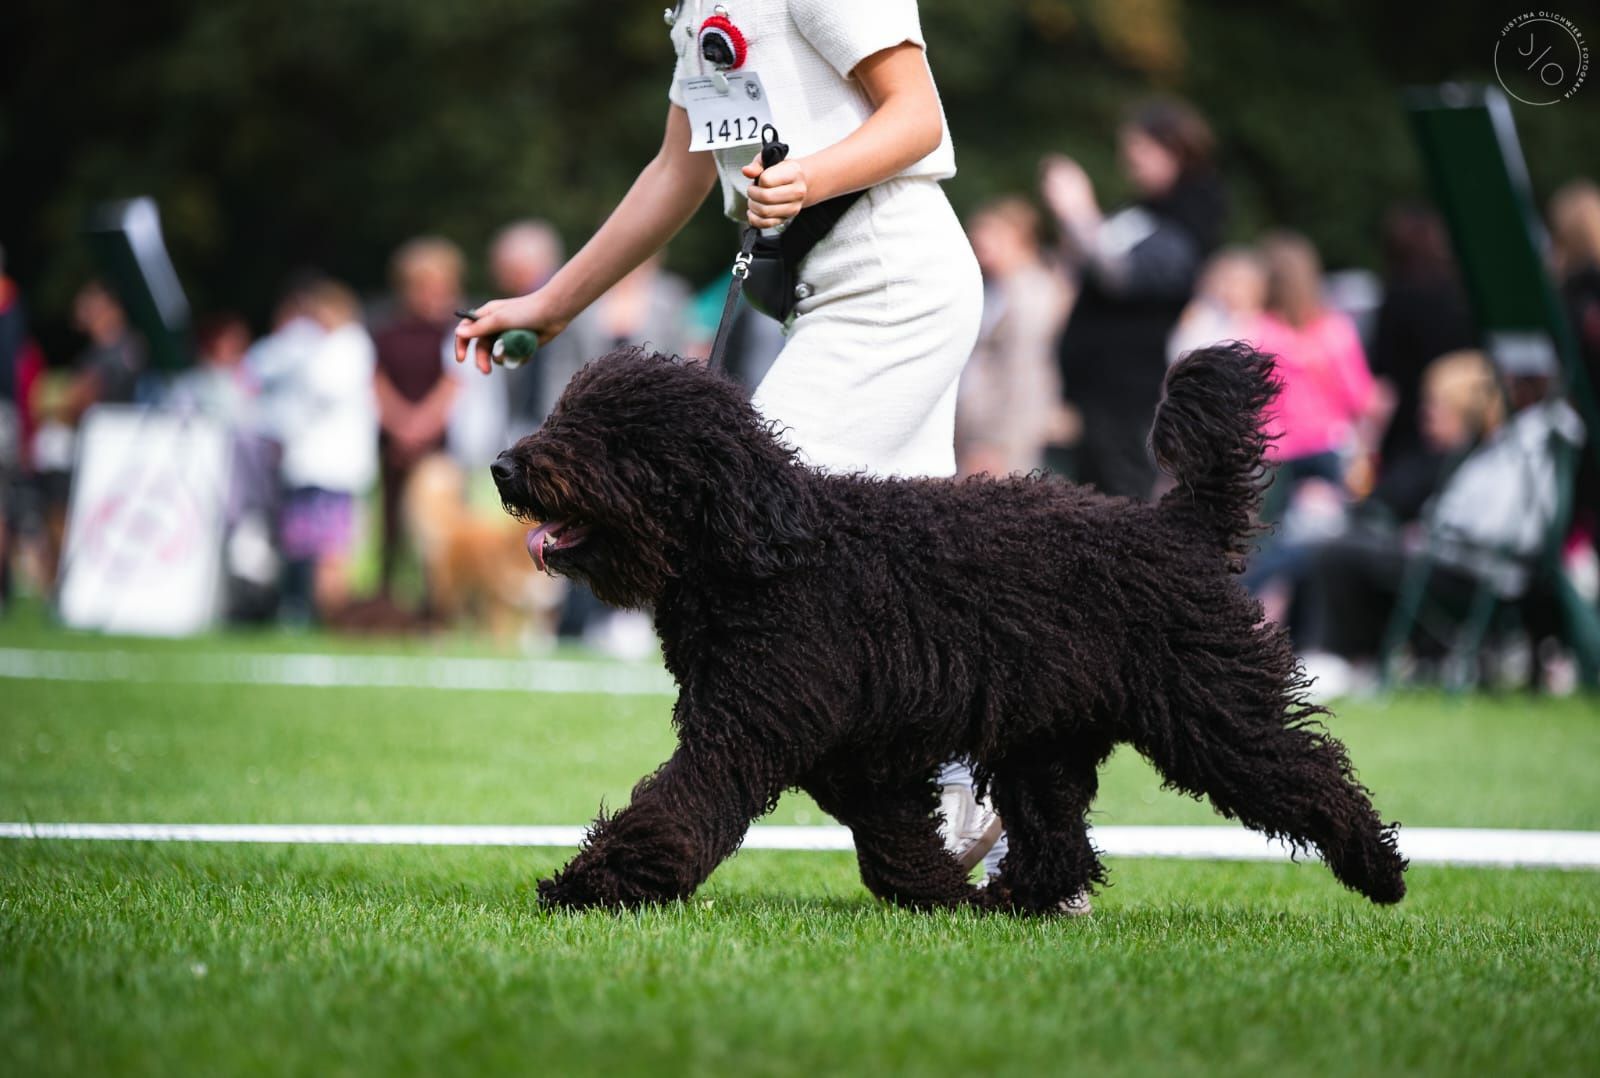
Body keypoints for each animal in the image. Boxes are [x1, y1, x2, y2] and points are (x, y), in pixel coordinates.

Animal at [492, 342, 1408, 908]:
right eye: (567, 409)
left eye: (617, 434)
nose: (503, 466)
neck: (764, 548)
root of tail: (1176, 523)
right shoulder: (852, 751)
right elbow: (894, 838)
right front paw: (941, 896)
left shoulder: (746, 728)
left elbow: (678, 806)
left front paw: (594, 884)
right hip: (1045, 741)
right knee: (1060, 843)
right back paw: (1012, 901)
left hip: (1212, 712)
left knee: (1307, 773)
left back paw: (1378, 867)